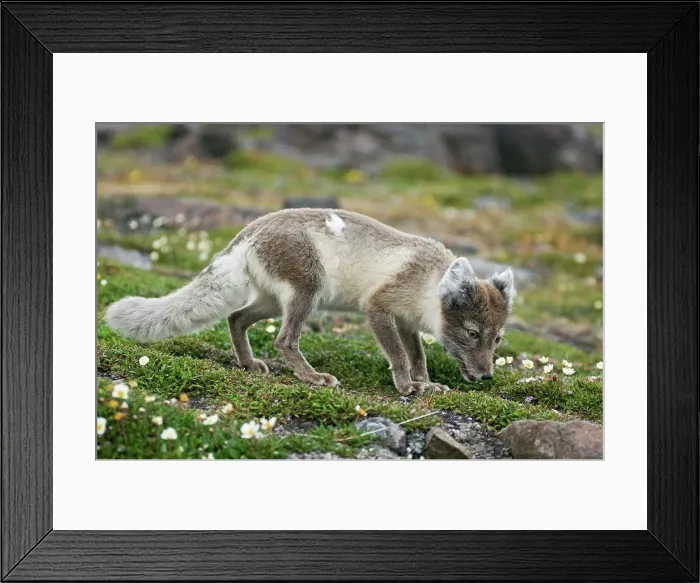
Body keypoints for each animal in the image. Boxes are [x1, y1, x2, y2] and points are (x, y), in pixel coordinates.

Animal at [105, 209, 516, 396]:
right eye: (473, 333)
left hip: (273, 301)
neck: (428, 282)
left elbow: (419, 357)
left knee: (236, 318)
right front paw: (407, 386)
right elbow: (400, 356)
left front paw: (426, 384)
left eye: (496, 339)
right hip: (308, 291)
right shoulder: (378, 307)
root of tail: (250, 230)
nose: (486, 376)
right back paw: (312, 377)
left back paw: (249, 364)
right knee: (284, 339)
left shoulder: (406, 322)